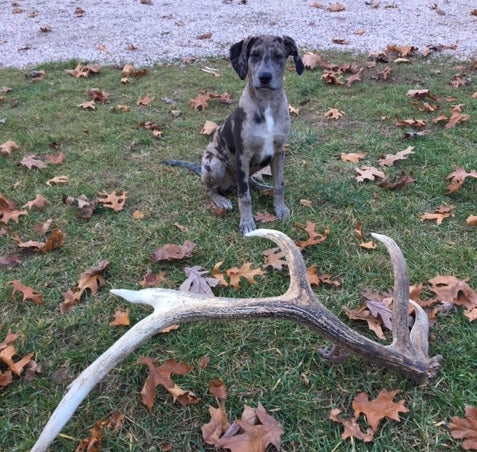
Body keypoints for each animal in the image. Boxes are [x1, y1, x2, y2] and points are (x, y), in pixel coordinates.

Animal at [165, 34, 304, 233]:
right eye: (254, 55)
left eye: (279, 56)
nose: (264, 77)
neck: (267, 103)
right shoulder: (242, 156)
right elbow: (244, 196)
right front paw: (247, 222)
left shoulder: (279, 153)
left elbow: (279, 185)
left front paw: (280, 209)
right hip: (214, 165)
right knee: (211, 189)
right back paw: (221, 200)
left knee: (250, 182)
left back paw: (263, 186)